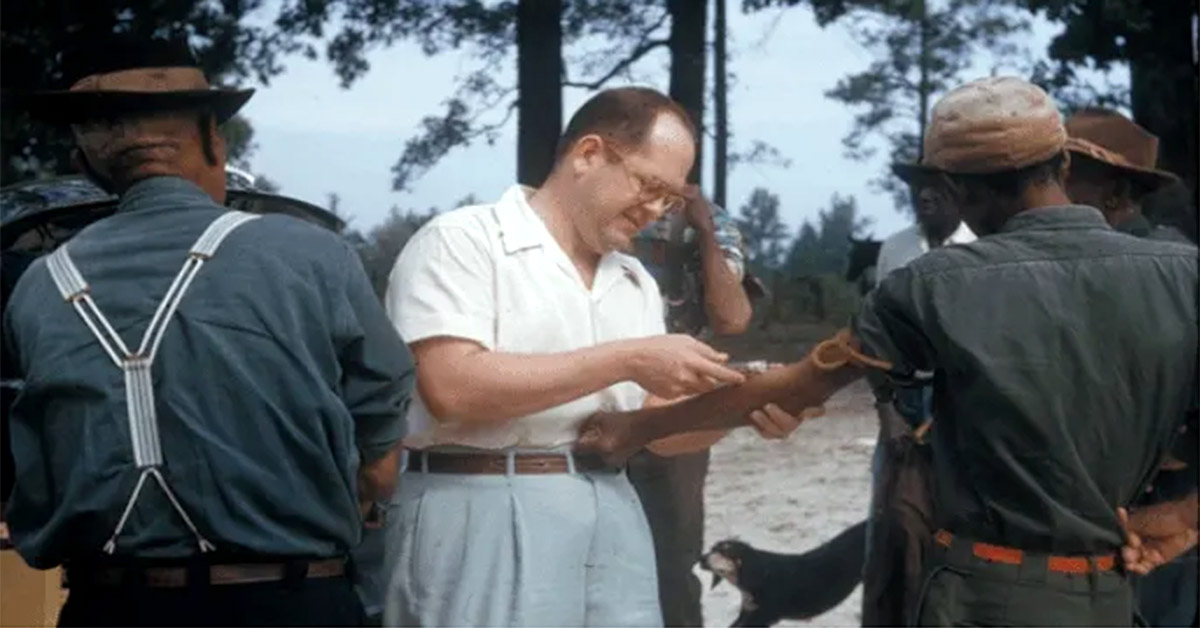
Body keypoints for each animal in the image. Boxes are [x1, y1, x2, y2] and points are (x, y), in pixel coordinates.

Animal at [700, 521, 868, 628]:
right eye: (713, 548)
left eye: (724, 551)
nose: (701, 558)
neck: (759, 576)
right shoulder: (747, 612)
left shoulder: (762, 617)